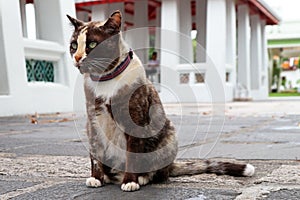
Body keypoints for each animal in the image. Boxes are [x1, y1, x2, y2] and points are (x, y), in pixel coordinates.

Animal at [67, 10, 254, 192]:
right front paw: (96, 177)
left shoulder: (135, 119)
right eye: (74, 45)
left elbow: (132, 153)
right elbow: (95, 153)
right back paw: (107, 176)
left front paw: (130, 181)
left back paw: (142, 177)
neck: (106, 81)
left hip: (169, 136)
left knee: (161, 173)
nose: (77, 57)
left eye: (93, 44)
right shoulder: (93, 121)